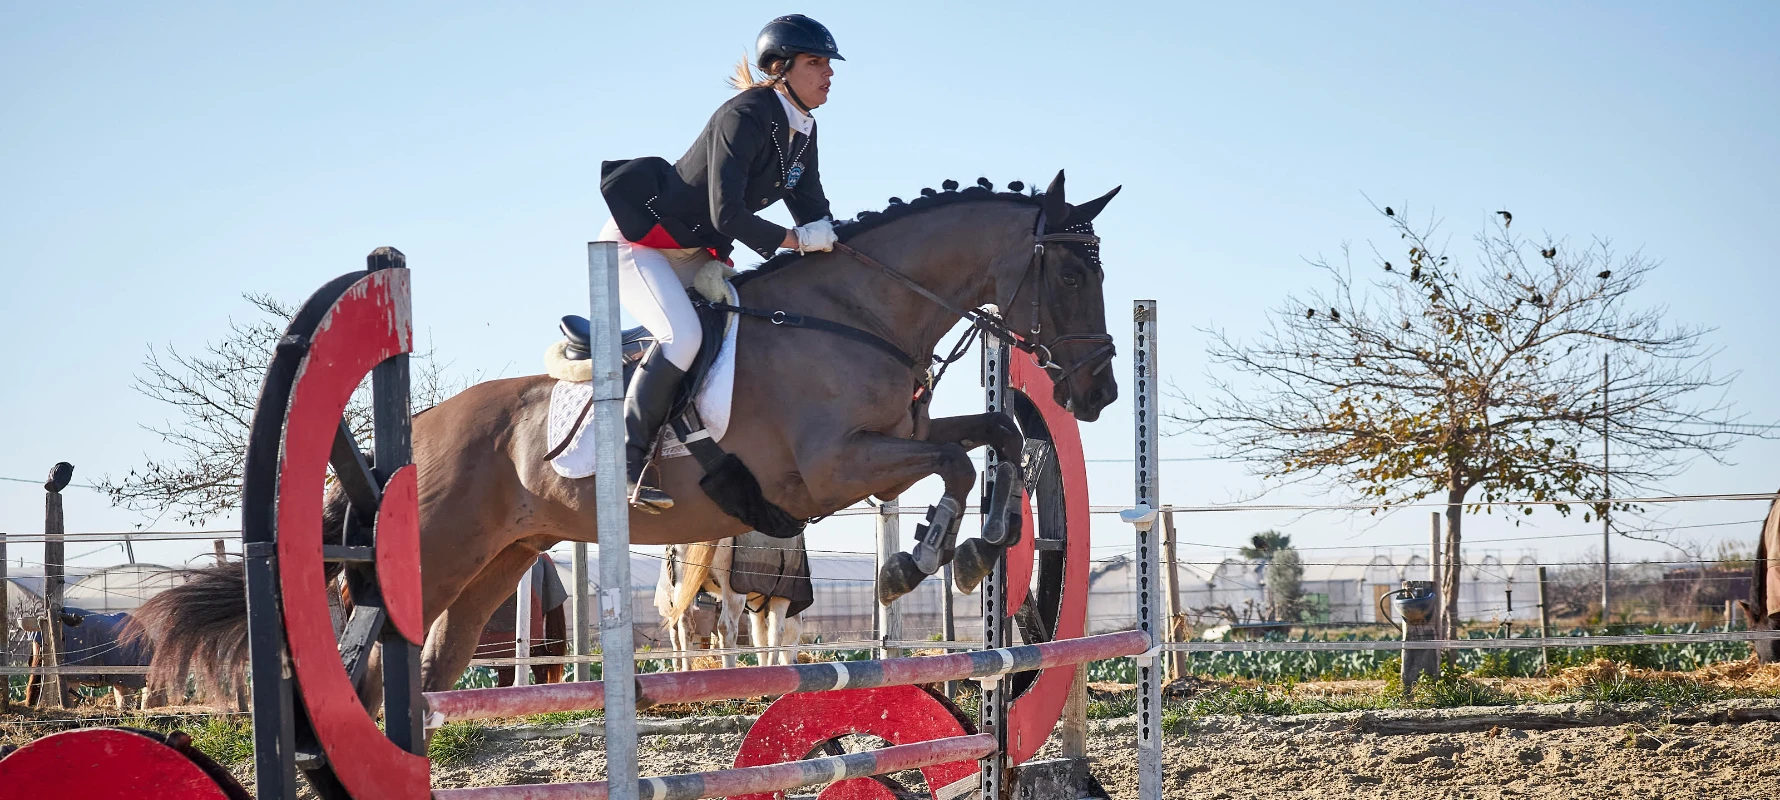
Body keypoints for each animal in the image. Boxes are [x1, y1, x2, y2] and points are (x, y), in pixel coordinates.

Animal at [131, 168, 1117, 698]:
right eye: (1071, 275)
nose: (1101, 390)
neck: (859, 311)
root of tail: (416, 433)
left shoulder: (889, 443)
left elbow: (994, 436)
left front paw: (976, 548)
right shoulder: (832, 469)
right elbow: (954, 460)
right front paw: (916, 562)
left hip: (494, 569)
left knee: (428, 672)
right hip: (438, 555)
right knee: (370, 670)